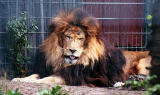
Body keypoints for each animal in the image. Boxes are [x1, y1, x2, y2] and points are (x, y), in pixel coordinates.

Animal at [12, 8, 151, 87]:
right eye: (67, 36)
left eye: (80, 39)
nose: (73, 50)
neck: (62, 61)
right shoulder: (47, 69)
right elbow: (35, 75)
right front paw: (19, 79)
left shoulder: (74, 76)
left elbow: (49, 79)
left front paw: (32, 82)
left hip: (143, 63)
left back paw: (125, 82)